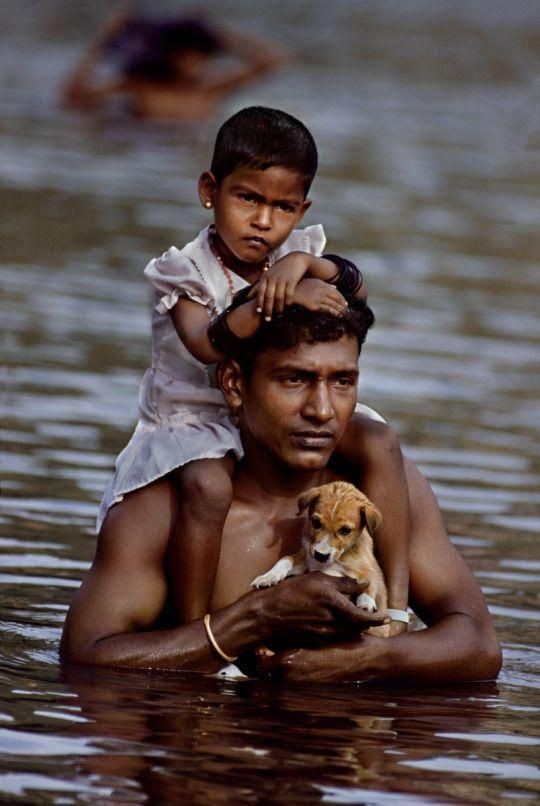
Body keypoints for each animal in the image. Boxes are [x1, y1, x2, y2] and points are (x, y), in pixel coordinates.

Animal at [251, 480, 390, 636]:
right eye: (316, 522)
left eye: (345, 530)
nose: (320, 555)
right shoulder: (307, 559)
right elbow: (285, 559)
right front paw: (269, 577)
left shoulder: (370, 568)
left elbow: (371, 580)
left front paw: (366, 601)